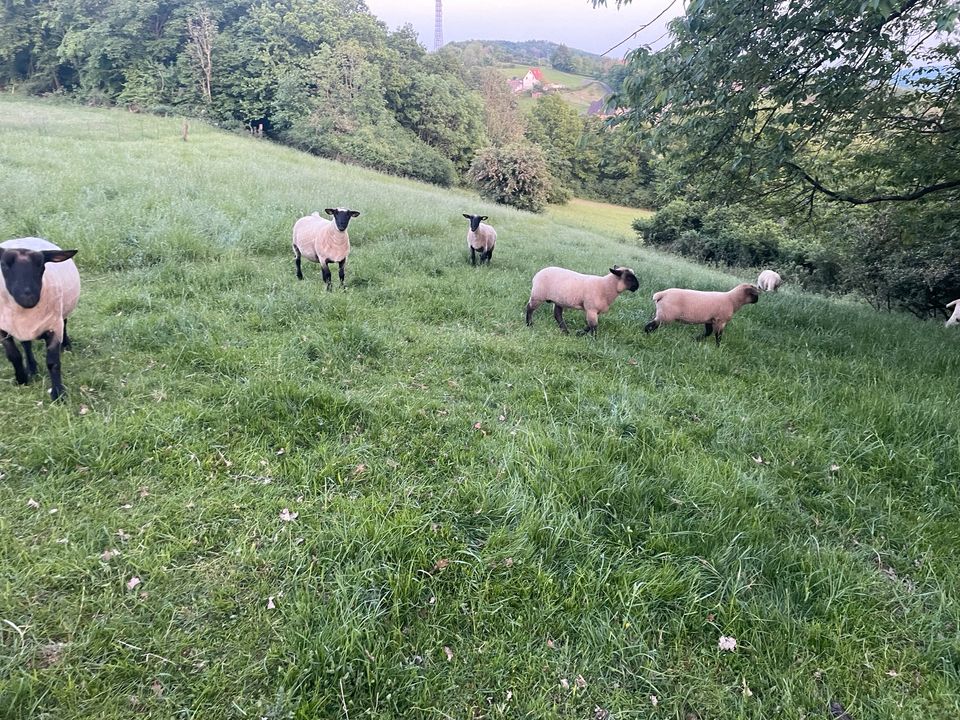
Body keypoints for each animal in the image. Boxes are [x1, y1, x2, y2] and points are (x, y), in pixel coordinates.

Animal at [0, 239, 79, 402]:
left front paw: (58, 394)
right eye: (3, 265)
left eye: (41, 265)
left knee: (65, 322)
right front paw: (22, 379)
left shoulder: (54, 327)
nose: (28, 298)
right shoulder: (3, 329)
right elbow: (14, 356)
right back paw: (31, 368)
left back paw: (66, 345)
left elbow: (53, 363)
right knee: (26, 344)